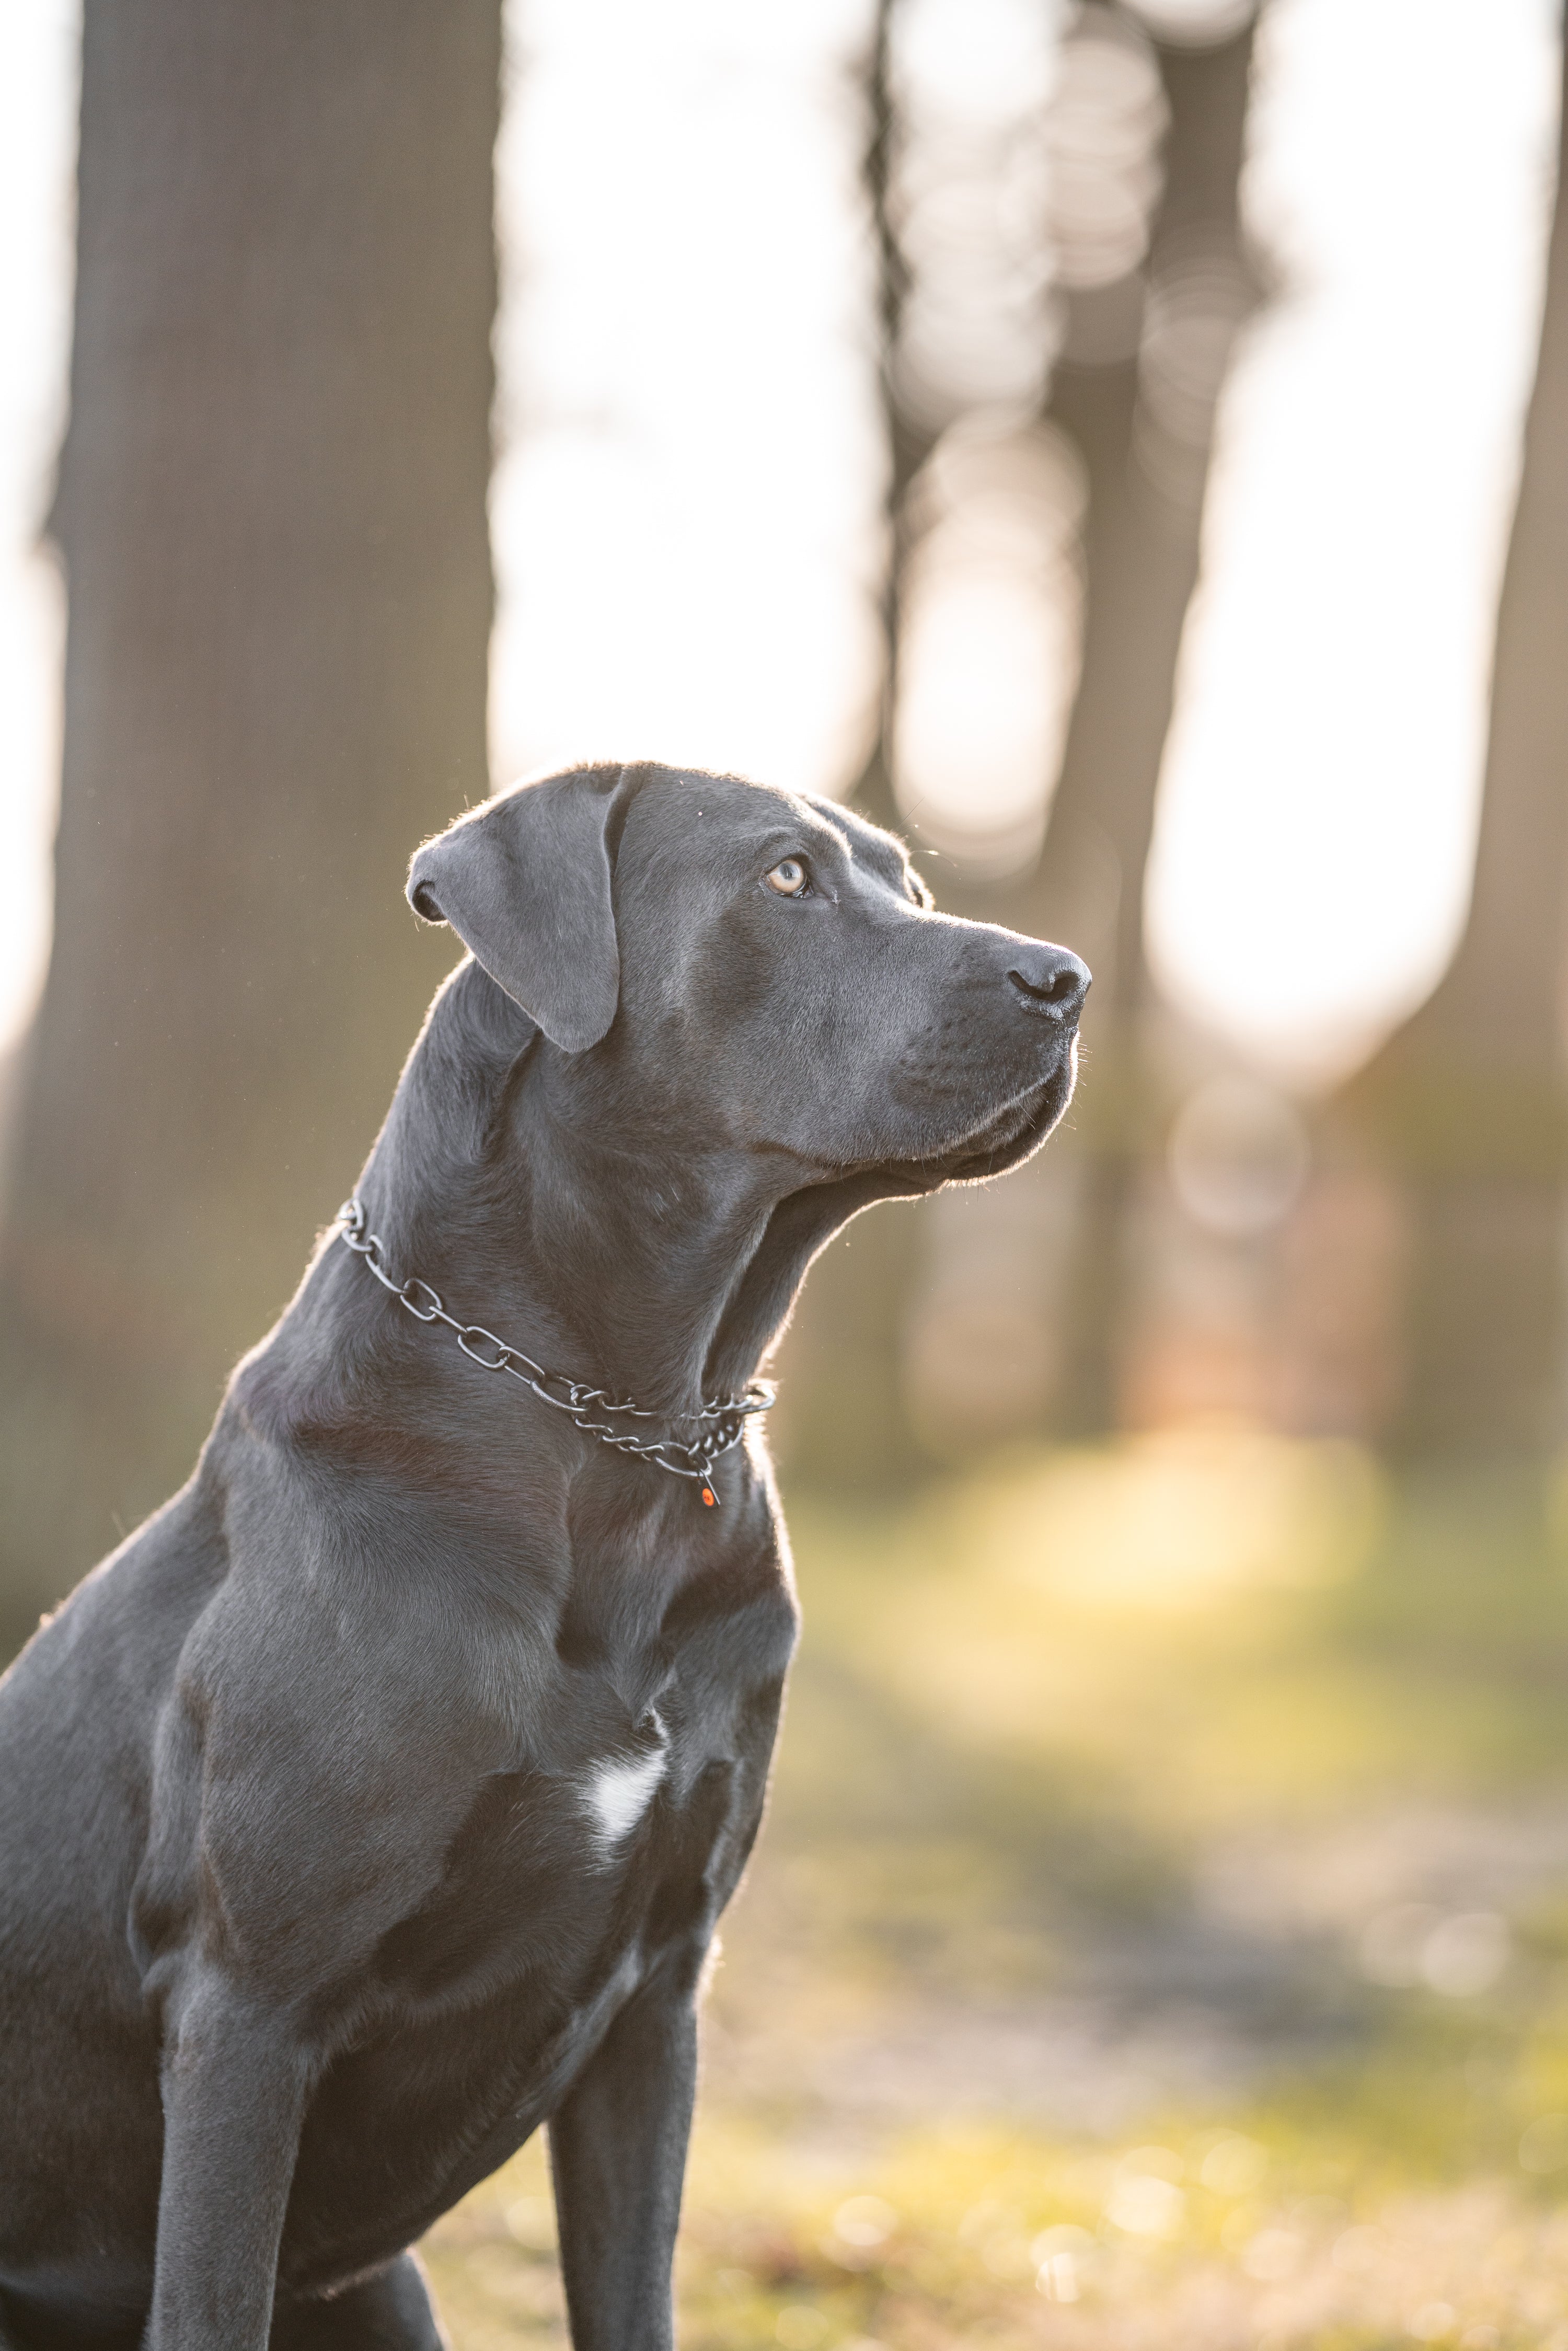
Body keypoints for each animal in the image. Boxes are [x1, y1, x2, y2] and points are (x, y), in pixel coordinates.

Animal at [0, 762, 1086, 2342]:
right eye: (786, 879)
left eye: (911, 883)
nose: (1065, 977)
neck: (627, 1433)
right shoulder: (250, 2007)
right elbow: (207, 2296)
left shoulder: (658, 1996)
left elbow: (632, 2291)